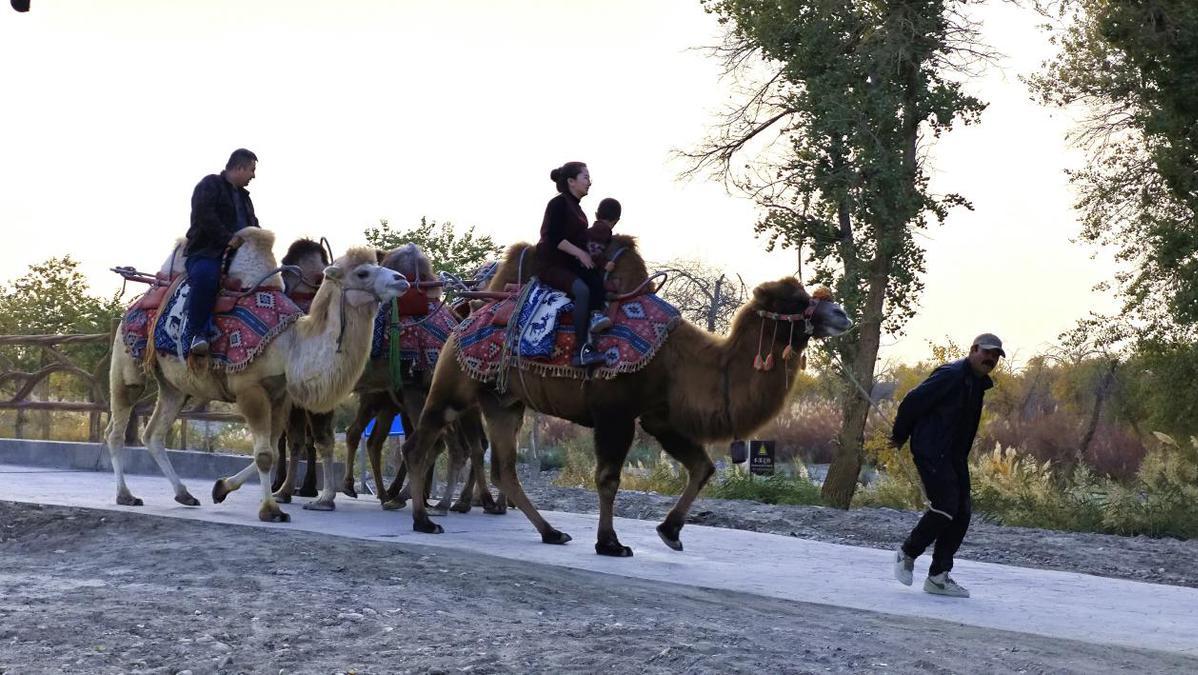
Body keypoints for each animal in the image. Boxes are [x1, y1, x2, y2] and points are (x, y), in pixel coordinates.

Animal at [104, 228, 412, 522]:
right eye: (362, 273)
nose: (402, 280)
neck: (290, 345)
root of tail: (135, 304)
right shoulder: (249, 389)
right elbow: (265, 454)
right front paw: (270, 510)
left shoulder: (279, 394)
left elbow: (273, 450)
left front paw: (221, 488)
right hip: (127, 363)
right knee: (116, 429)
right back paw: (125, 495)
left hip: (175, 386)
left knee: (154, 433)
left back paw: (184, 494)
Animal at [402, 239, 852, 556]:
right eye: (795, 301)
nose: (842, 314)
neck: (680, 361)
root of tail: (465, 315)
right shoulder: (614, 411)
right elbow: (608, 477)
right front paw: (611, 544)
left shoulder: (658, 416)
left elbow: (702, 467)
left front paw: (670, 532)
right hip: (454, 383)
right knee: (421, 442)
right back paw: (424, 520)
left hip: (503, 400)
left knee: (503, 468)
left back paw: (551, 532)